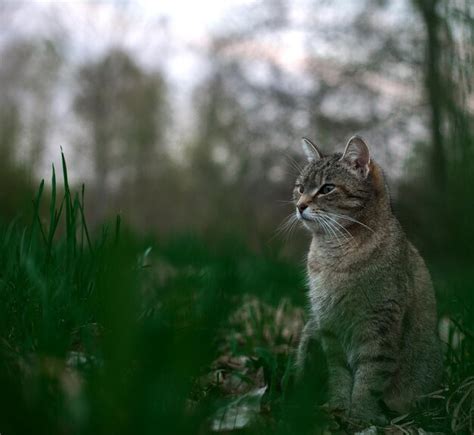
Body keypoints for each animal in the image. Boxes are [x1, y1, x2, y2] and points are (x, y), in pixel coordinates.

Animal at [294, 135, 442, 426]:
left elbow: (369, 378)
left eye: (326, 188)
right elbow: (339, 376)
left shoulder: (380, 327)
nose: (300, 205)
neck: (335, 251)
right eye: (300, 188)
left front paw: (360, 416)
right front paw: (338, 408)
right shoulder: (329, 328)